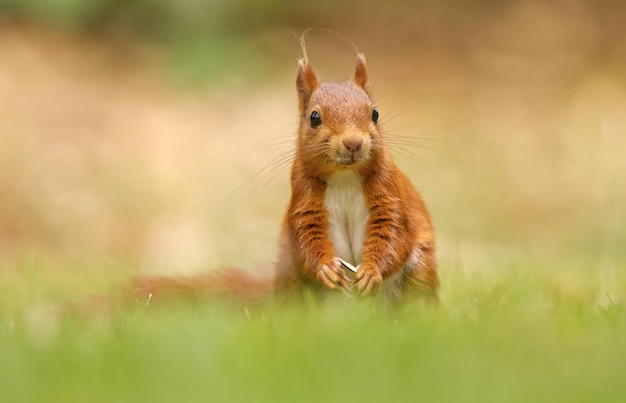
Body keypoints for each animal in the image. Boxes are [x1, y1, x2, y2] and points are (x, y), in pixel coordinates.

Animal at [83, 49, 436, 310]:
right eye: (314, 117)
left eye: (374, 113)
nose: (353, 143)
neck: (345, 177)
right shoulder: (304, 199)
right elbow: (307, 238)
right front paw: (325, 268)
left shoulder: (390, 194)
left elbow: (394, 233)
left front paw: (371, 272)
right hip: (293, 282)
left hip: (420, 274)